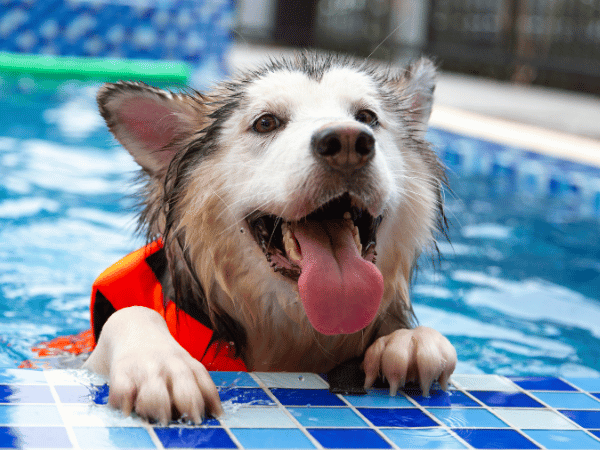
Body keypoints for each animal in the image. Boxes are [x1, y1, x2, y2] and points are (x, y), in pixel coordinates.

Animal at [83, 51, 454, 424]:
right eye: (265, 123)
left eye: (366, 117)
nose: (348, 141)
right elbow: (130, 314)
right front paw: (162, 365)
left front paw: (408, 340)